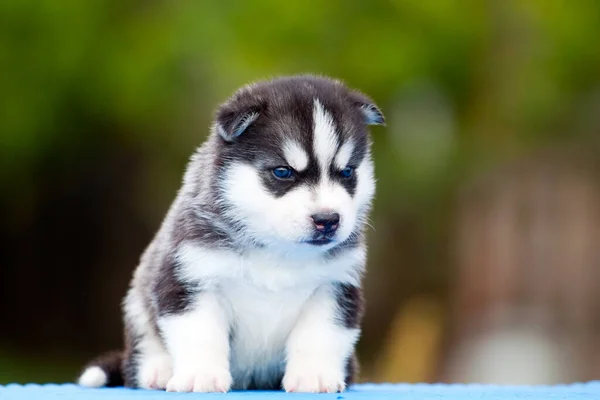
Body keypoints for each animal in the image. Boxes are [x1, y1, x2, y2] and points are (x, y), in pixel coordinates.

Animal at [77, 73, 384, 392]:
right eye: (283, 172)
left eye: (347, 172)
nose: (328, 220)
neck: (277, 251)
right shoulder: (190, 277)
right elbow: (200, 333)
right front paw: (201, 375)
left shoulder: (335, 286)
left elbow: (320, 336)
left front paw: (315, 375)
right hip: (138, 299)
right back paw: (158, 369)